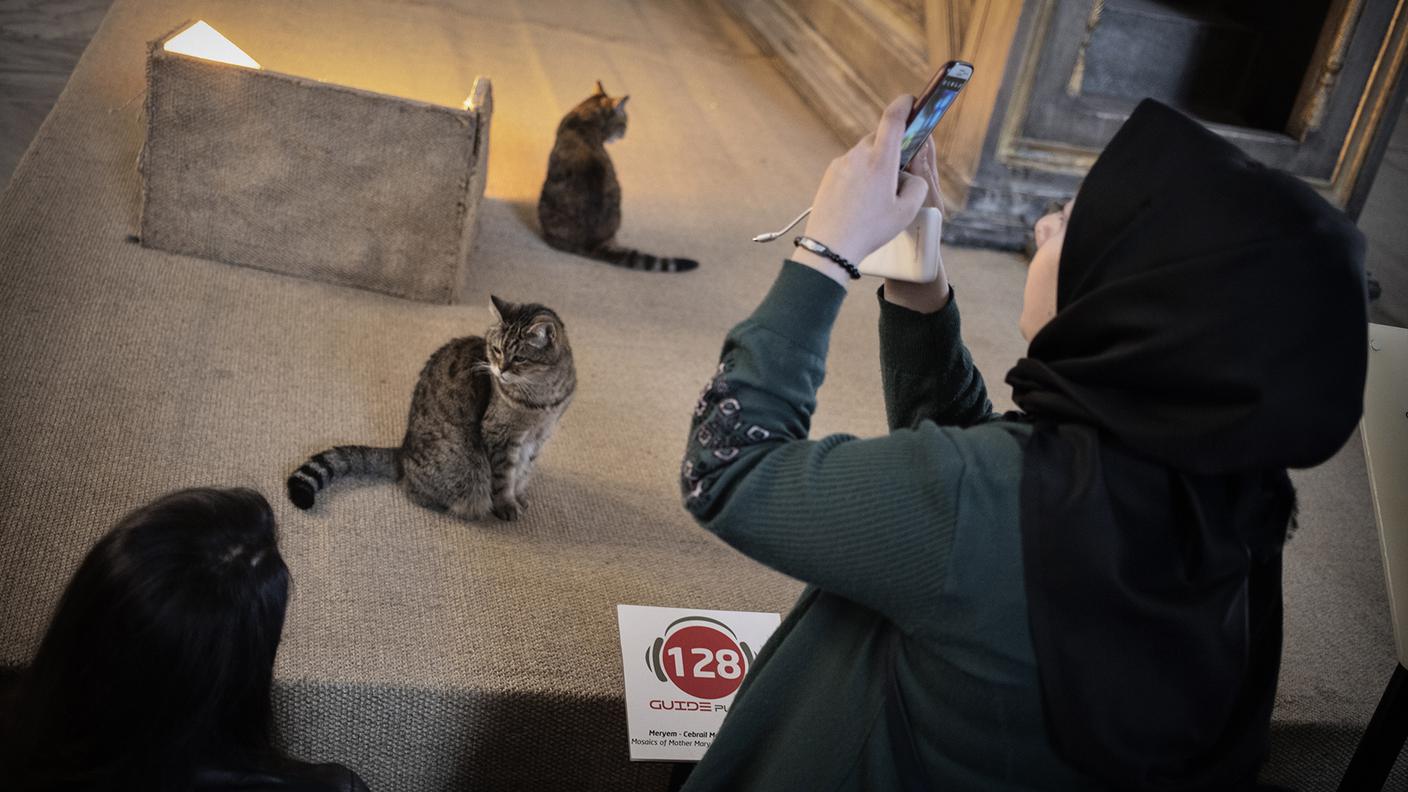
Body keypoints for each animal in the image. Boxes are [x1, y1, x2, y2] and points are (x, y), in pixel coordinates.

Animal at [288, 294, 574, 518]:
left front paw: (519, 495)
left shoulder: (539, 436)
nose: (500, 370)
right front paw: (506, 505)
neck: (542, 399)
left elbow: (523, 471)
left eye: (520, 358)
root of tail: (403, 451)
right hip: (463, 468)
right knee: (411, 488)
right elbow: (504, 477)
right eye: (496, 350)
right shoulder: (501, 435)